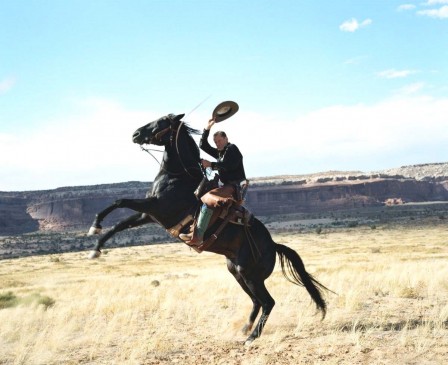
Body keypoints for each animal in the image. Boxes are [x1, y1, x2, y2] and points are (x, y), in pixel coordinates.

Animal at [88, 113, 328, 344]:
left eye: (162, 122)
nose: (136, 133)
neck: (177, 177)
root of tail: (273, 245)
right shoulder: (148, 215)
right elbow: (119, 223)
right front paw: (96, 243)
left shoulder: (156, 207)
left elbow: (120, 201)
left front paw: (95, 231)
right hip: (237, 273)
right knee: (256, 301)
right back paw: (245, 328)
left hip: (250, 276)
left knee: (268, 302)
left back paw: (251, 337)